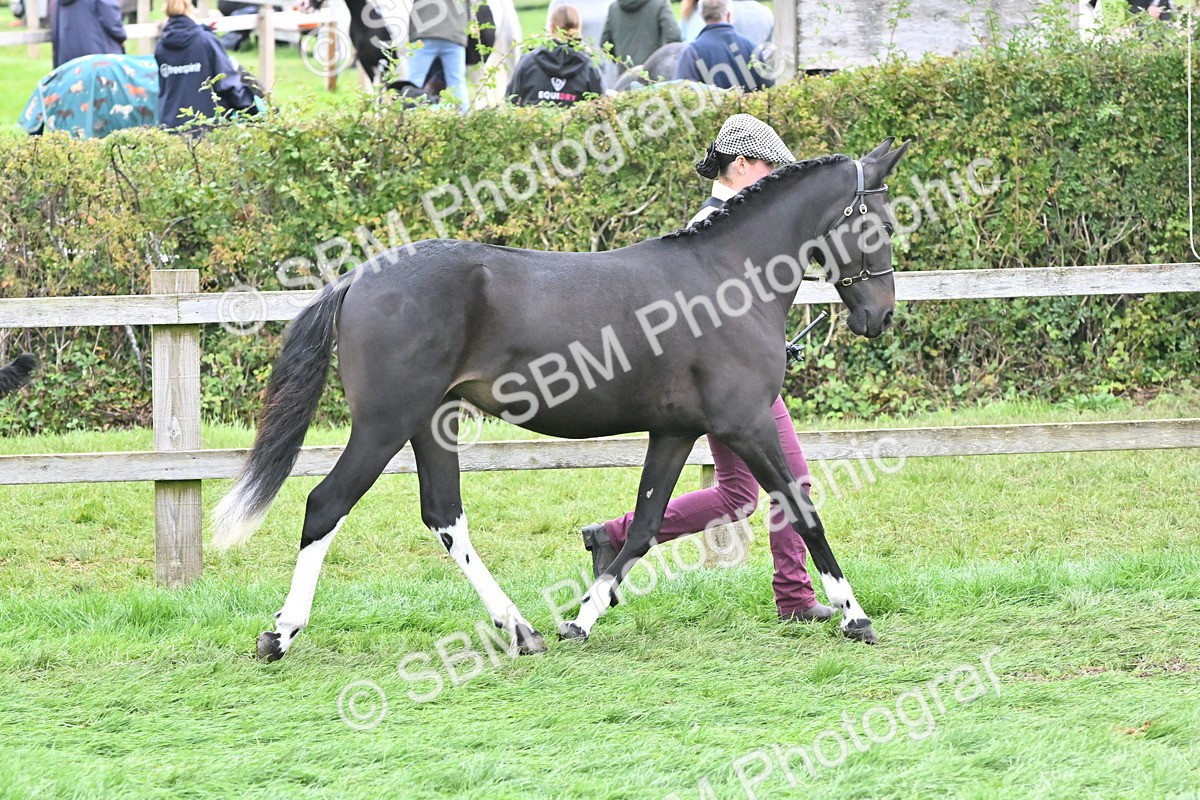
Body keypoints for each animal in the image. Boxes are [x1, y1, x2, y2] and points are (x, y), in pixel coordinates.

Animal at [214, 139, 911, 662]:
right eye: (881, 223)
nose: (878, 316)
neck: (726, 279)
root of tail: (358, 278)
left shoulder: (676, 432)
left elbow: (646, 526)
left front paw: (582, 617)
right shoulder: (746, 424)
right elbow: (801, 508)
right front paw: (854, 615)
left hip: (432, 423)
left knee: (445, 516)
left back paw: (522, 630)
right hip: (385, 424)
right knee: (326, 504)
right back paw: (280, 633)